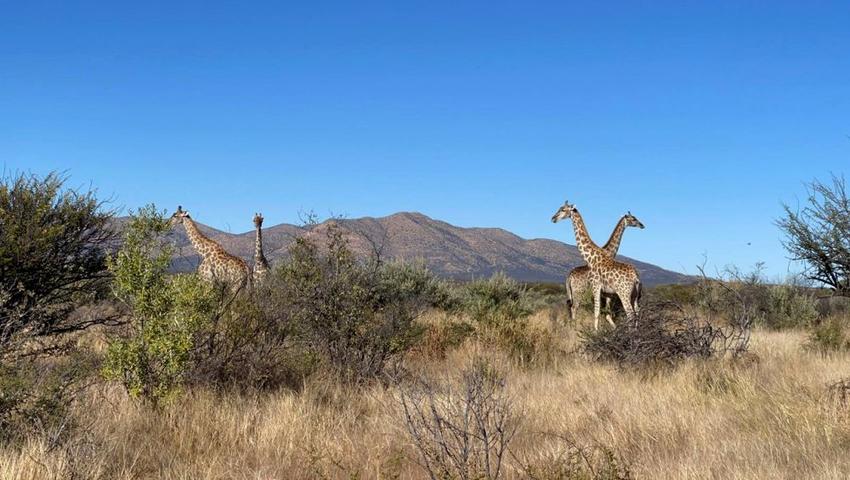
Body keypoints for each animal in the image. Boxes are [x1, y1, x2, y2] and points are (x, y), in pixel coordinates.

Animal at [548, 202, 644, 330]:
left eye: (563, 210)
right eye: (633, 218)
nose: (553, 218)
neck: (592, 257)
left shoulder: (598, 288)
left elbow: (599, 312)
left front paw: (597, 331)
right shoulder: (603, 291)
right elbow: (603, 312)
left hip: (623, 293)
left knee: (631, 313)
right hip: (630, 295)